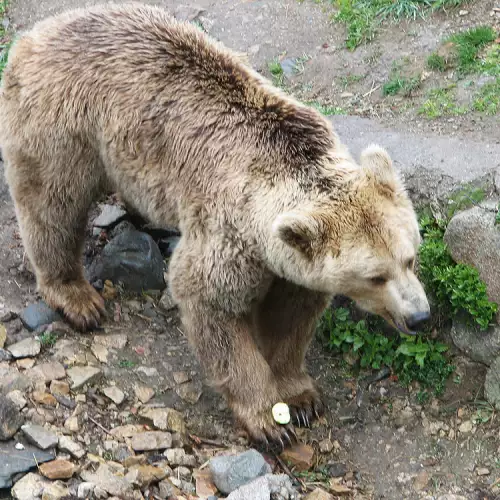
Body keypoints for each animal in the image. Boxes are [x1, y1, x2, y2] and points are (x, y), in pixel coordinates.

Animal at [0, 2, 430, 442]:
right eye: (375, 276)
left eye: (410, 258)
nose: (420, 316)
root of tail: (37, 33)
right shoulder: (230, 230)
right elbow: (211, 304)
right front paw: (268, 419)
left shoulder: (288, 260)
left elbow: (291, 317)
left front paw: (301, 397)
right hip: (64, 120)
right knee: (53, 203)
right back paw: (77, 296)